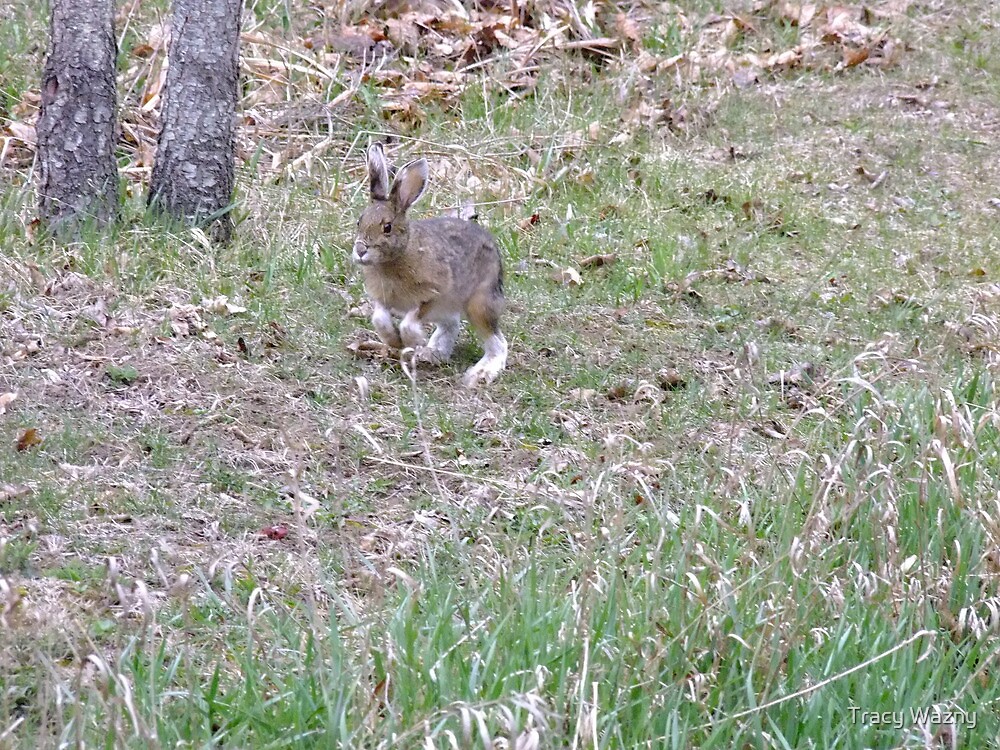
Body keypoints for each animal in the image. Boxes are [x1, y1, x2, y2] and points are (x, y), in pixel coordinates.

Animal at [352, 143, 508, 388]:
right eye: (360, 221)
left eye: (387, 227)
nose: (360, 250)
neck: (398, 256)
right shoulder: (382, 300)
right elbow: (380, 318)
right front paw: (394, 341)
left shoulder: (432, 295)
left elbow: (409, 322)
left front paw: (412, 340)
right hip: (447, 310)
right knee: (451, 325)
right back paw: (431, 353)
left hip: (479, 304)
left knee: (498, 342)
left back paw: (482, 372)